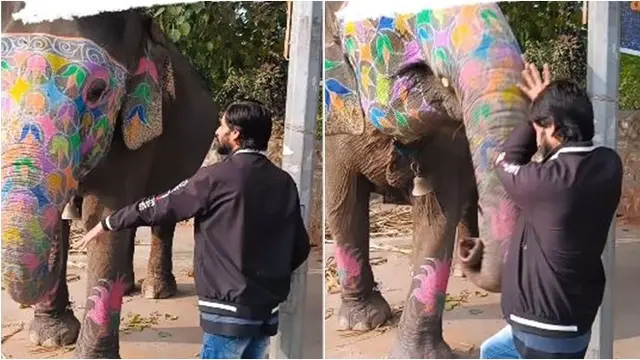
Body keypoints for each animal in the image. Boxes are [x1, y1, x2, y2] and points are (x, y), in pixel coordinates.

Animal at [1, 2, 219, 358]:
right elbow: (78, 221)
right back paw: (129, 287)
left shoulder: (135, 126)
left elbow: (101, 216)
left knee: (162, 211)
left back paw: (156, 290)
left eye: (97, 92)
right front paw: (50, 338)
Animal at [324, 2, 528, 358]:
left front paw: (416, 354)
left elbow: (436, 220)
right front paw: (360, 322)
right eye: (399, 26)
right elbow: (343, 206)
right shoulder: (338, 120)